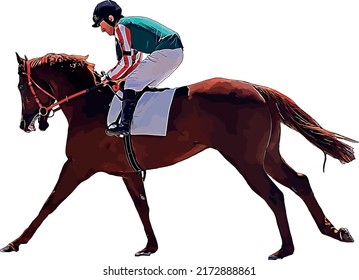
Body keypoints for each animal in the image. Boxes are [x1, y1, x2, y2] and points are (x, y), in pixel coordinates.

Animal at [2, 51, 358, 260]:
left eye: (20, 87)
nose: (24, 123)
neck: (89, 107)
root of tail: (256, 88)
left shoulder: (77, 166)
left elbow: (49, 203)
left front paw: (16, 242)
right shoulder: (128, 172)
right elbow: (142, 207)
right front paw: (150, 247)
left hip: (245, 159)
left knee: (274, 194)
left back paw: (285, 249)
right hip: (267, 154)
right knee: (299, 181)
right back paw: (332, 230)